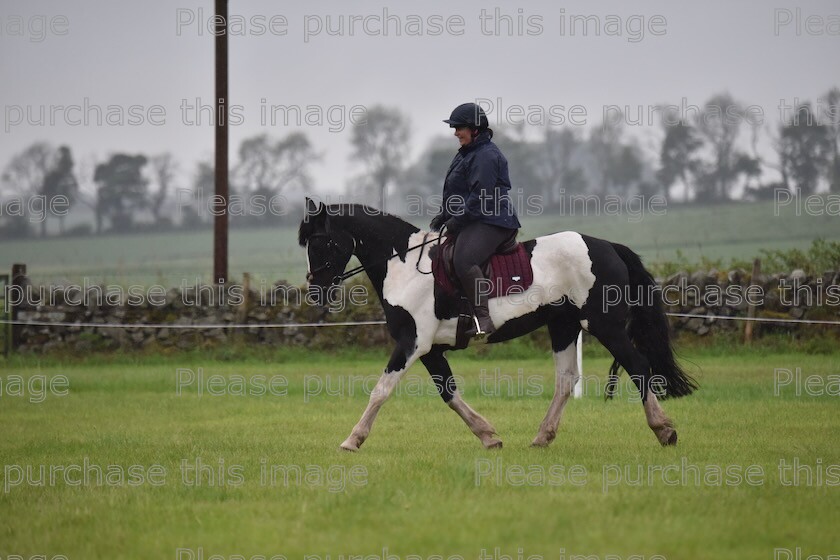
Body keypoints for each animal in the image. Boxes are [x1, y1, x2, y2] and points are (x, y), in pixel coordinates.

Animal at [296, 199, 696, 452]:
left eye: (320, 242)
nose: (316, 291)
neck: (404, 266)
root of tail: (608, 246)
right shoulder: (430, 350)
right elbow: (449, 394)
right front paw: (488, 436)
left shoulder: (412, 343)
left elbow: (381, 390)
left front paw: (352, 440)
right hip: (564, 326)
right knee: (566, 381)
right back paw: (542, 437)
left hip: (604, 325)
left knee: (638, 366)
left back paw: (664, 430)